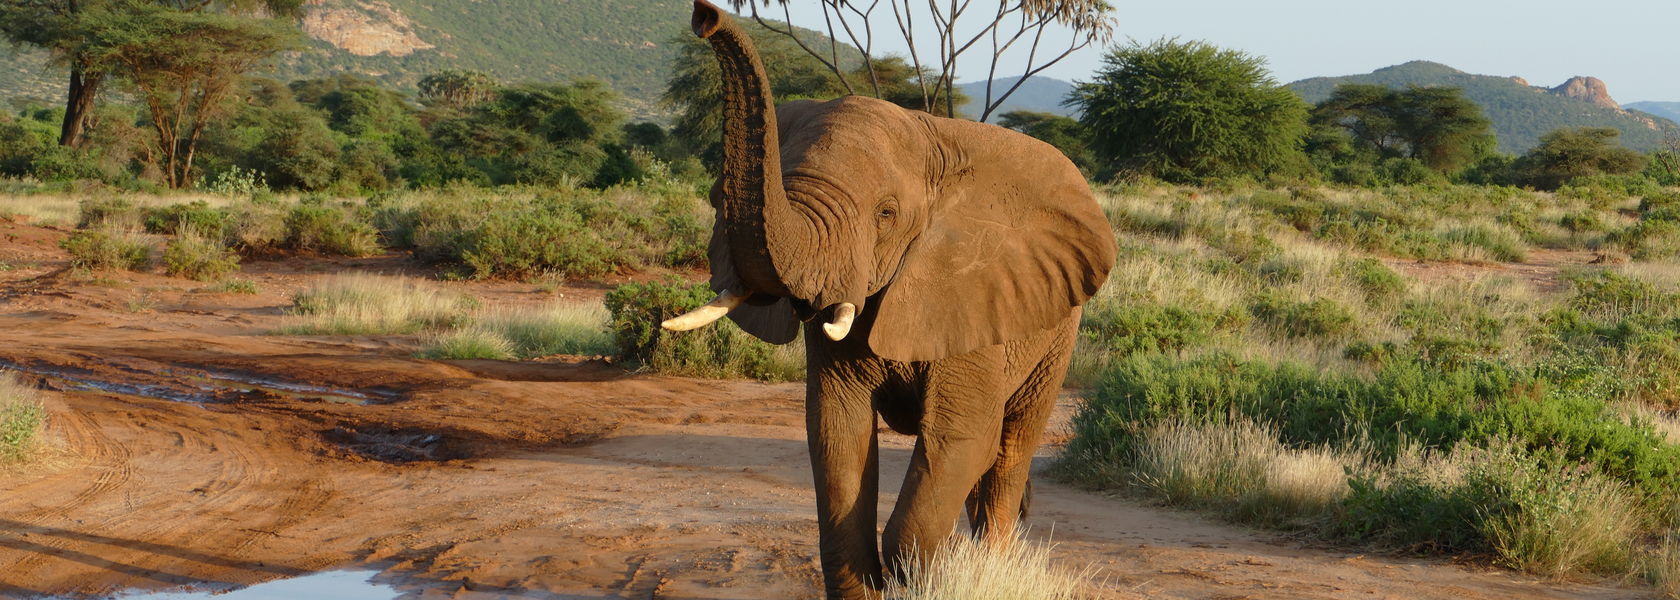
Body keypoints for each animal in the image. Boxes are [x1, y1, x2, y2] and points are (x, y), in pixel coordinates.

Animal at [655, 2, 1115, 594]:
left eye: (887, 214)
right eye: (717, 197)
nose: (706, 16)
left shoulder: (971, 294)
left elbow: (961, 439)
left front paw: (922, 577)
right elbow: (837, 432)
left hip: (1058, 336)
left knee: (1010, 449)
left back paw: (993, 555)